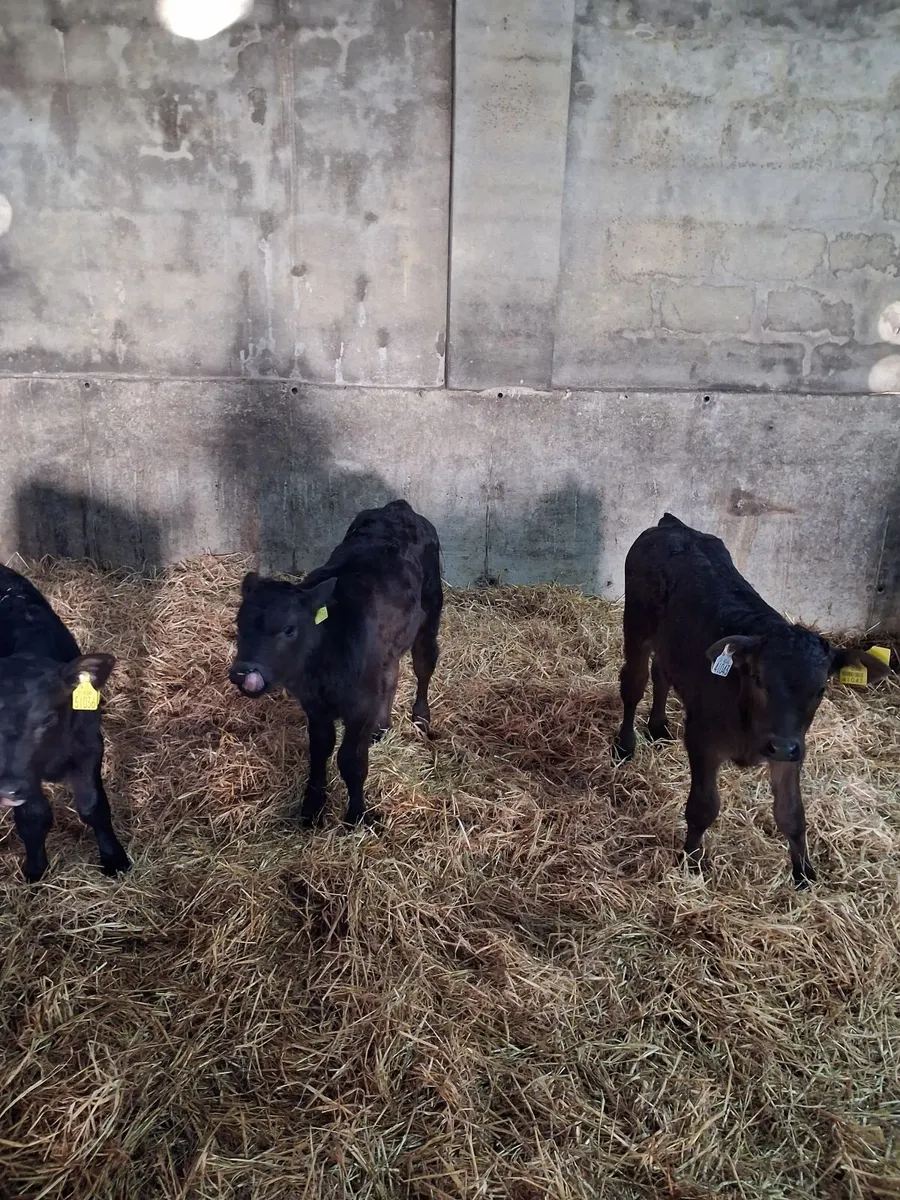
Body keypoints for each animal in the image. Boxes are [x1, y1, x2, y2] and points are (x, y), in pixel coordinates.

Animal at [0, 565, 130, 883]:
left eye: (48, 718)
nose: (7, 790)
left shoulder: (90, 745)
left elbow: (94, 806)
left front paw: (115, 859)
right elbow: (34, 816)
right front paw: (36, 869)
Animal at [229, 499, 443, 828]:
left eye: (289, 629)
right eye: (239, 626)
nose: (243, 672)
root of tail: (398, 508)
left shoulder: (361, 705)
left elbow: (350, 760)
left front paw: (357, 815)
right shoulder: (314, 705)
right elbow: (320, 750)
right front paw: (311, 807)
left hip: (430, 610)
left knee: (424, 663)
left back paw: (420, 717)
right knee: (391, 674)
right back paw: (381, 727)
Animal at [613, 513, 890, 887]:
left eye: (820, 689)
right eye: (759, 679)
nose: (781, 746)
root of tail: (673, 525)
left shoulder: (792, 748)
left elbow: (791, 813)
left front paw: (804, 874)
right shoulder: (702, 739)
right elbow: (703, 806)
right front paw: (691, 861)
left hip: (670, 643)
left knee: (662, 674)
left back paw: (657, 727)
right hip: (637, 624)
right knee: (634, 682)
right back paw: (625, 745)